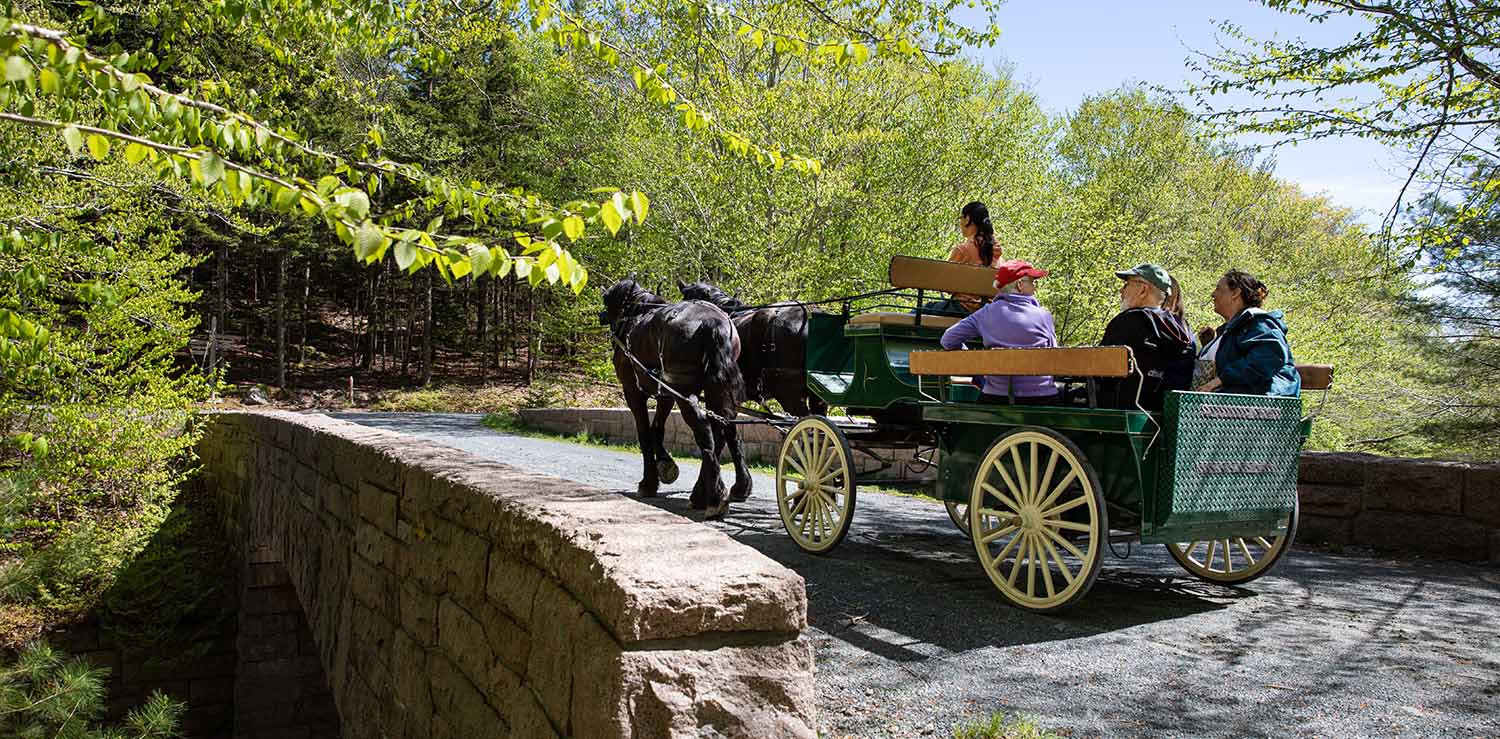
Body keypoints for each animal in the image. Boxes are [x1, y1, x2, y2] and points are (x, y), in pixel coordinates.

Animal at [600, 277, 750, 518]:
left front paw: (649, 482)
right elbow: (657, 429)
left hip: (684, 391)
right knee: (722, 430)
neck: (635, 314)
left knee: (705, 432)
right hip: (713, 390)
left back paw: (713, 498)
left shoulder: (633, 391)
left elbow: (644, 433)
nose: (601, 315)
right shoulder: (666, 394)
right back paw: (713, 492)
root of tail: (712, 323)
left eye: (607, 302)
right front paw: (666, 465)